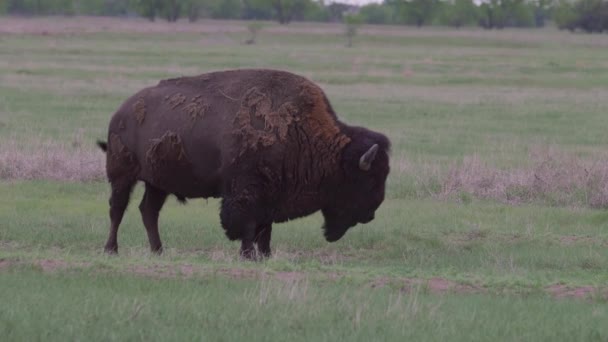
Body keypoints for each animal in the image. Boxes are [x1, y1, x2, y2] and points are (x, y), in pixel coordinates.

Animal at [95, 68, 390, 258]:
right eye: (368, 180)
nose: (372, 213)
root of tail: (120, 113)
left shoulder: (272, 195)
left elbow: (265, 228)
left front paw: (266, 255)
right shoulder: (246, 192)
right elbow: (247, 225)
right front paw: (248, 254)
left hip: (158, 182)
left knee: (149, 211)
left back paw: (158, 250)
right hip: (122, 176)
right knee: (117, 210)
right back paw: (111, 250)